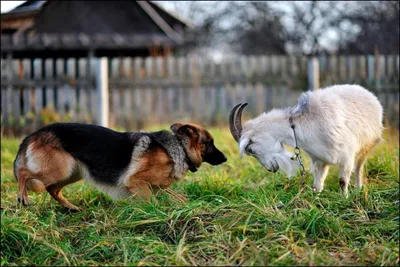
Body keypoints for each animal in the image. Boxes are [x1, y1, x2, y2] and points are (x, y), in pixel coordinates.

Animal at [13, 122, 228, 210]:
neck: (179, 148)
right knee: (24, 173)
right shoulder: (136, 182)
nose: (226, 158)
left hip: (73, 172)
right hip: (60, 168)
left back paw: (71, 207)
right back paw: (23, 197)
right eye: (210, 143)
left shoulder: (156, 186)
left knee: (53, 189)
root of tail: (34, 133)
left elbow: (178, 197)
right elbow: (151, 201)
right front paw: (155, 214)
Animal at [230, 85, 382, 196]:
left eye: (250, 149)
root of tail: (370, 95)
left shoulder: (346, 156)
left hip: (367, 145)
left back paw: (358, 189)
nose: (270, 169)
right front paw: (317, 198)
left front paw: (344, 198)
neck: (300, 124)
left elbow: (342, 181)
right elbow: (318, 183)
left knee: (358, 168)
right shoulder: (320, 159)